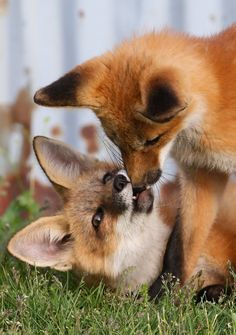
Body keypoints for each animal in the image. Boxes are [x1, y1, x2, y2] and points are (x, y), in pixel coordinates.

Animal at [33, 24, 236, 292]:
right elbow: (180, 251)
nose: (134, 185)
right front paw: (163, 296)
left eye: (153, 139)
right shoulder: (202, 172)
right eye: (114, 138)